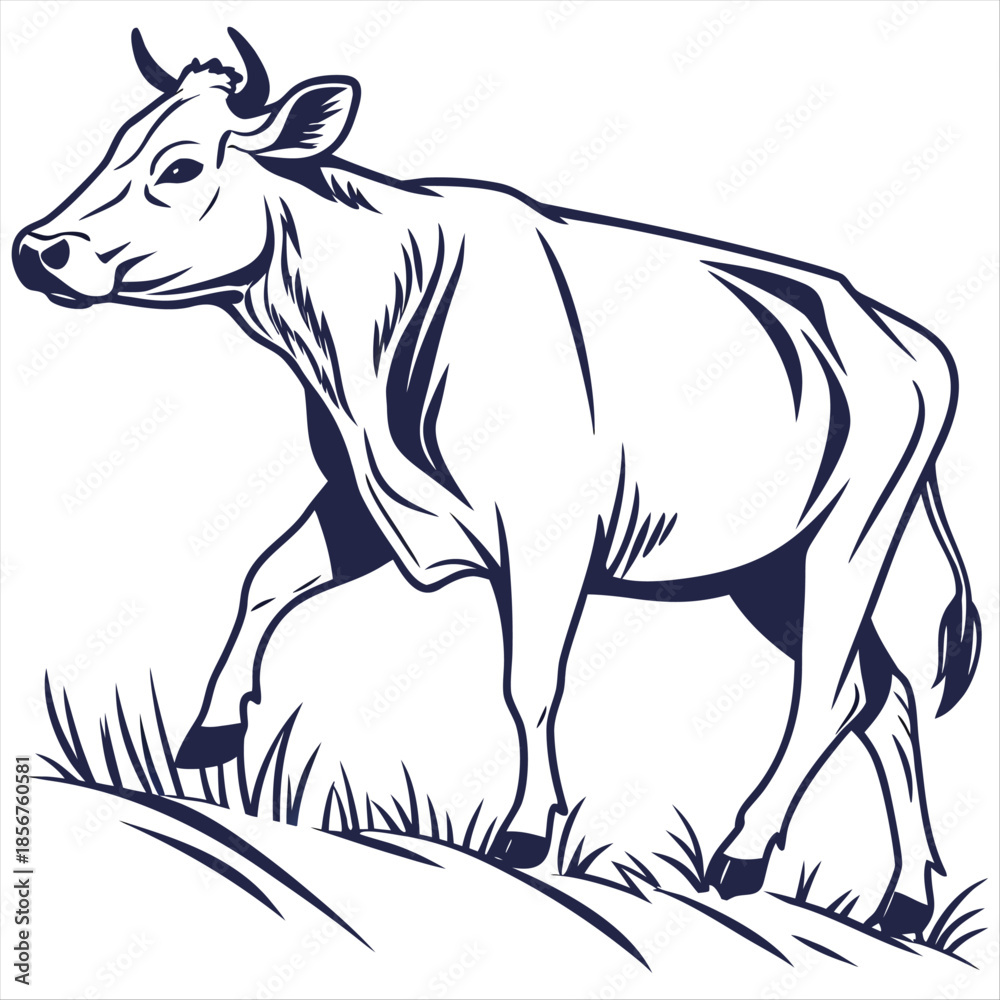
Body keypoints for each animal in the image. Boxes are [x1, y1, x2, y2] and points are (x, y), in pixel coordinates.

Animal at [13, 29, 981, 937]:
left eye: (181, 166)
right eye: (114, 144)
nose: (38, 250)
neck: (374, 330)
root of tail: (904, 333)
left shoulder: (549, 537)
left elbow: (530, 683)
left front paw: (525, 831)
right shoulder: (366, 505)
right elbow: (265, 579)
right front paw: (210, 733)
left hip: (849, 541)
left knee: (829, 691)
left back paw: (743, 854)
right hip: (767, 573)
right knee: (883, 701)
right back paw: (903, 900)